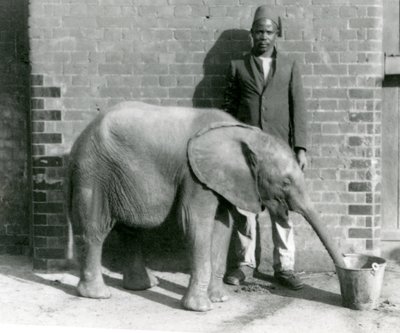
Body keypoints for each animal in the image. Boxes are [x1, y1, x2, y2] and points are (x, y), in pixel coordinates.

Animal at [68, 101, 344, 312]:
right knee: (95, 229)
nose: (346, 275)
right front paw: (201, 308)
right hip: (93, 172)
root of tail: (80, 137)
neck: (244, 135)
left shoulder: (219, 179)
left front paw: (220, 299)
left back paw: (143, 286)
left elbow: (223, 226)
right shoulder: (194, 176)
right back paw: (97, 294)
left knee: (131, 230)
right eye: (285, 182)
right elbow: (195, 223)